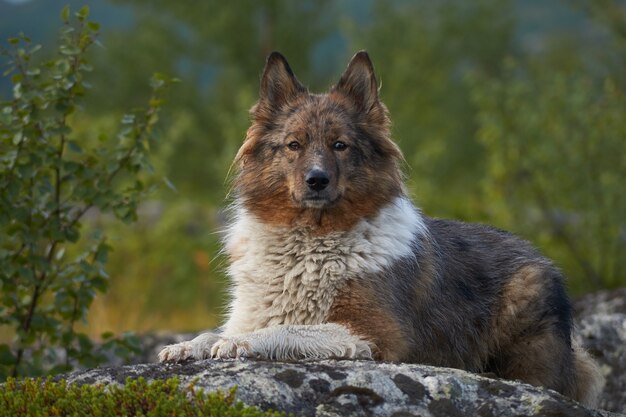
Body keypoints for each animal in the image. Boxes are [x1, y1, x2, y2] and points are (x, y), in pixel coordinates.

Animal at [158, 50, 604, 404]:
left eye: (340, 145)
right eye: (293, 145)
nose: (317, 180)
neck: (311, 241)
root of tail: (540, 257)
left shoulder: (374, 335)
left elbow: (288, 329)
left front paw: (240, 343)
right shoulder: (252, 310)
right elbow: (219, 331)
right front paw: (189, 344)